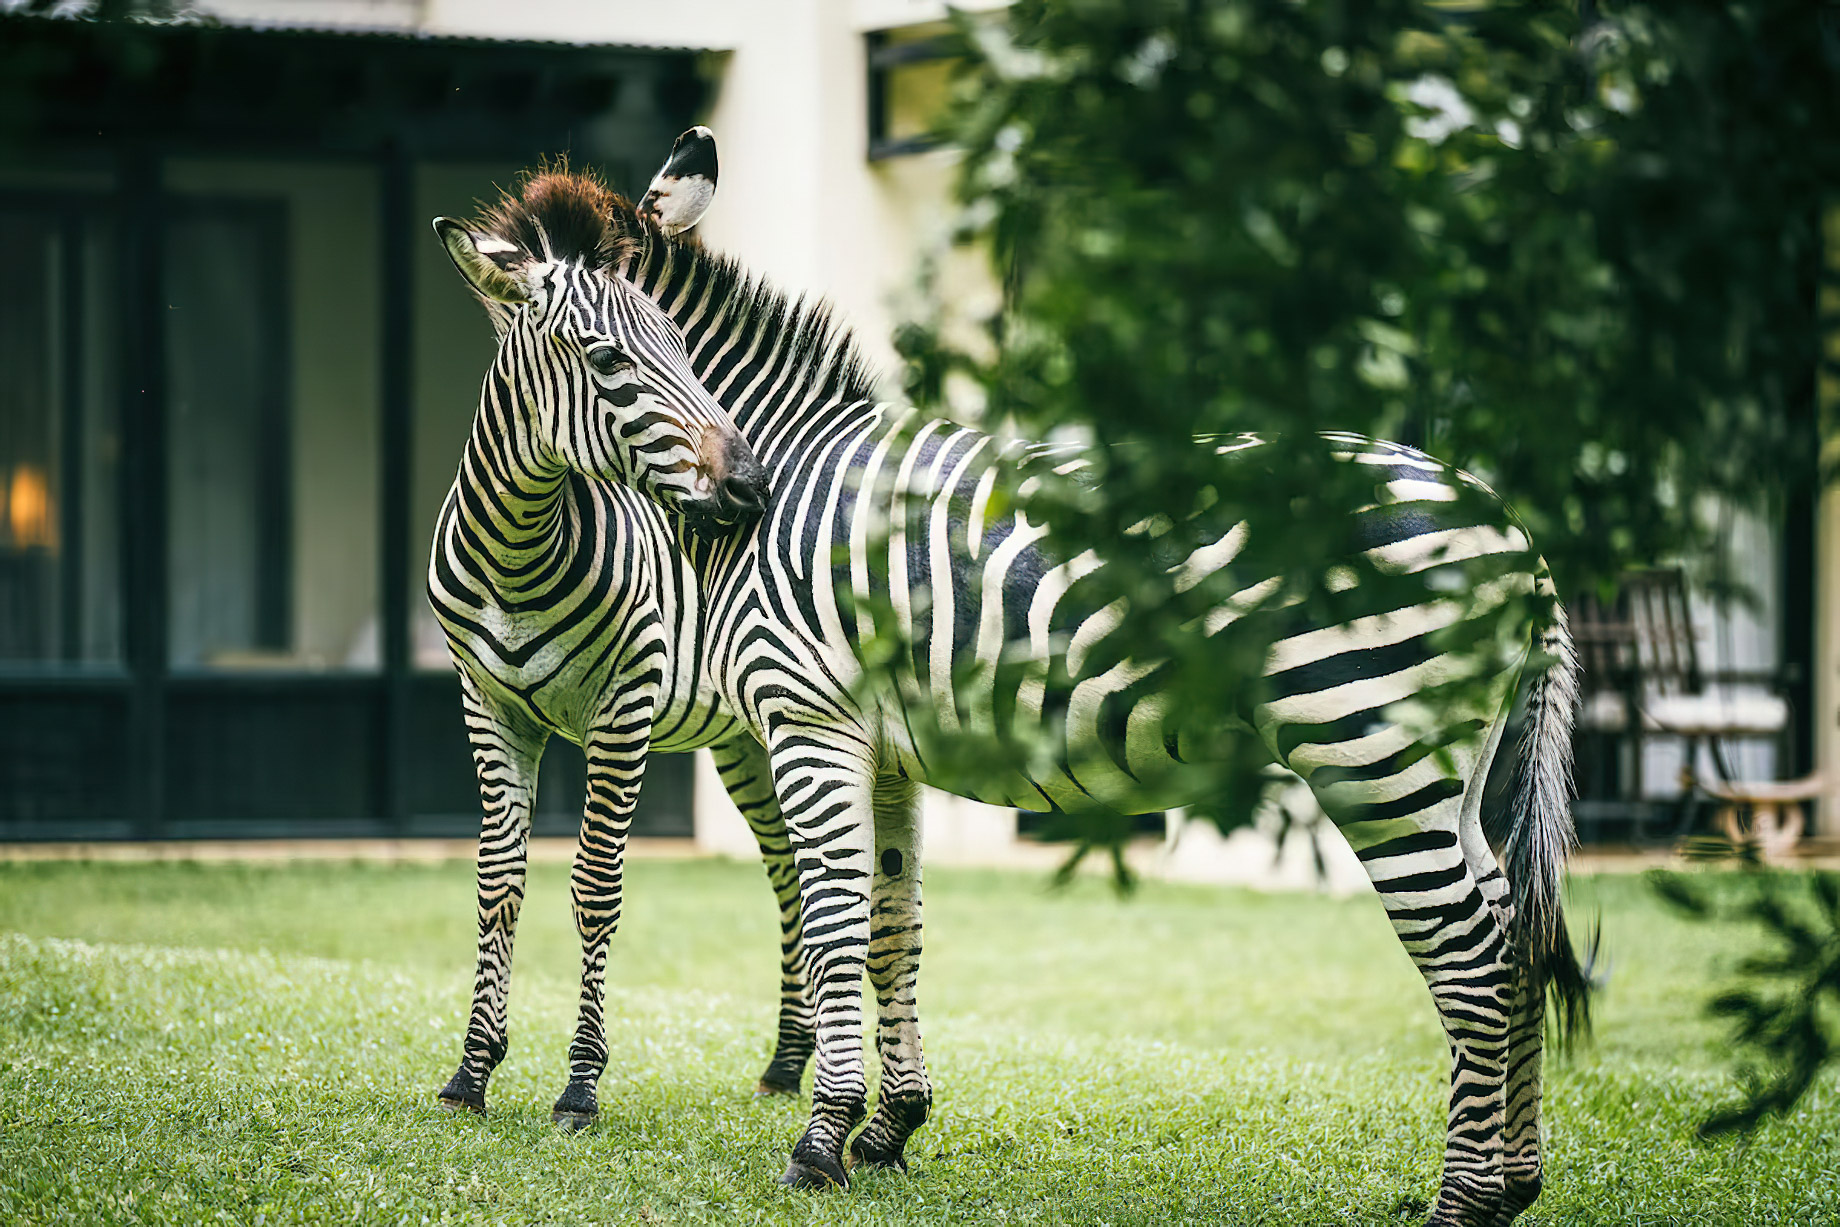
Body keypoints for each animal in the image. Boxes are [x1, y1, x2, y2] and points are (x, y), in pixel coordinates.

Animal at [432, 128, 1589, 1227]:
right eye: (606, 360)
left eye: (678, 352)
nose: (746, 492)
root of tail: (1511, 531)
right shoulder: (877, 747)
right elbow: (889, 924)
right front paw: (887, 1129)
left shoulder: (808, 720)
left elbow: (834, 915)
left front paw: (820, 1141)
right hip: (1451, 769)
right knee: (1517, 937)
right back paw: (1513, 1184)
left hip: (1370, 747)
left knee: (1471, 959)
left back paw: (1463, 1200)